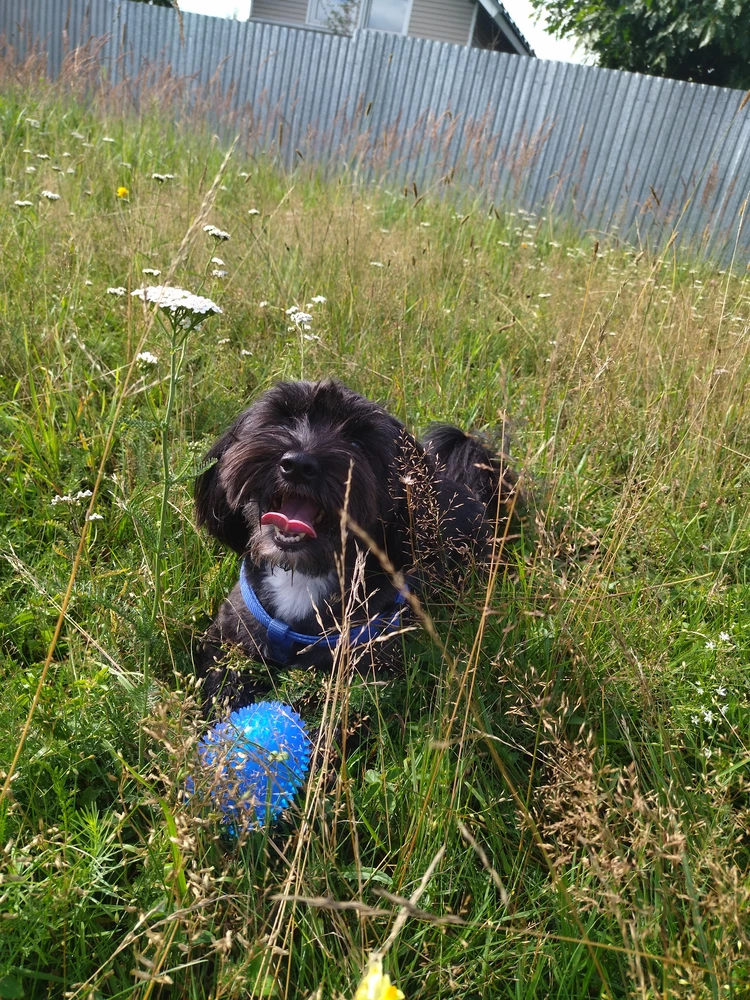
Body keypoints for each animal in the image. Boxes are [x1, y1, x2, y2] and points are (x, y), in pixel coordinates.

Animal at [192, 376, 516, 712]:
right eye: (284, 419)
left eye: (358, 445)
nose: (298, 464)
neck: (304, 575)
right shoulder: (228, 636)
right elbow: (225, 681)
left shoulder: (368, 664)